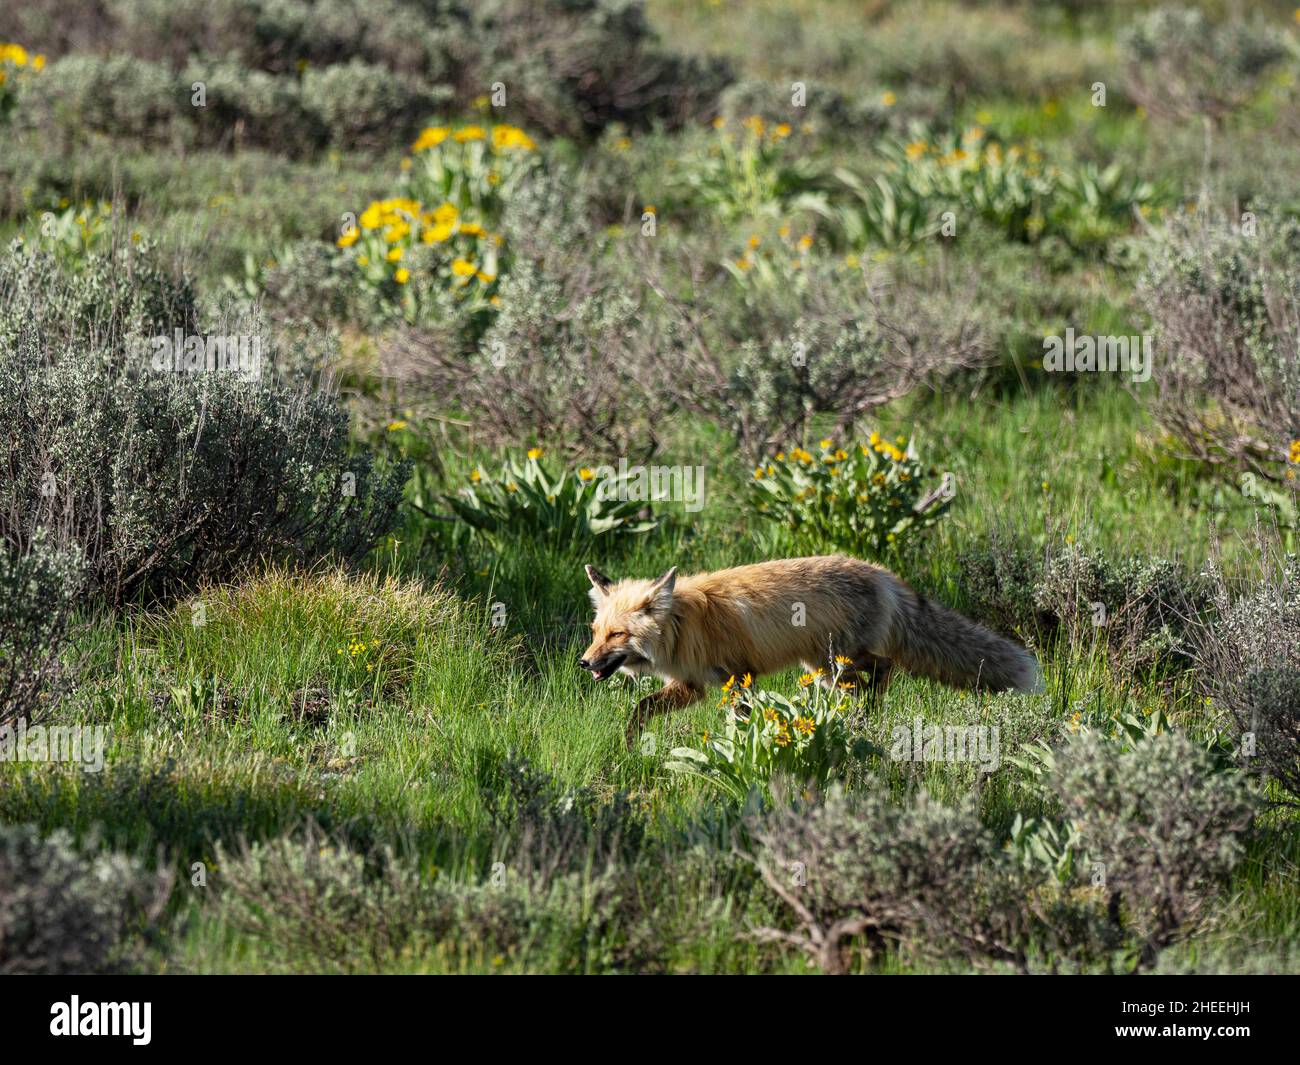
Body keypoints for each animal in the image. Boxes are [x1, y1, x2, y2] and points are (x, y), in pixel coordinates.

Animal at [582, 559, 1045, 749]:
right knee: (875, 677)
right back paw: (867, 719)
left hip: (839, 662)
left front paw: (743, 747)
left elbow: (741, 723)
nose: (584, 663)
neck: (683, 627)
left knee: (885, 668)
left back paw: (868, 719)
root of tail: (884, 574)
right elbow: (640, 709)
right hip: (823, 668)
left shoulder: (739, 677)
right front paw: (629, 744)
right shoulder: (693, 685)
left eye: (618, 635)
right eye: (596, 633)